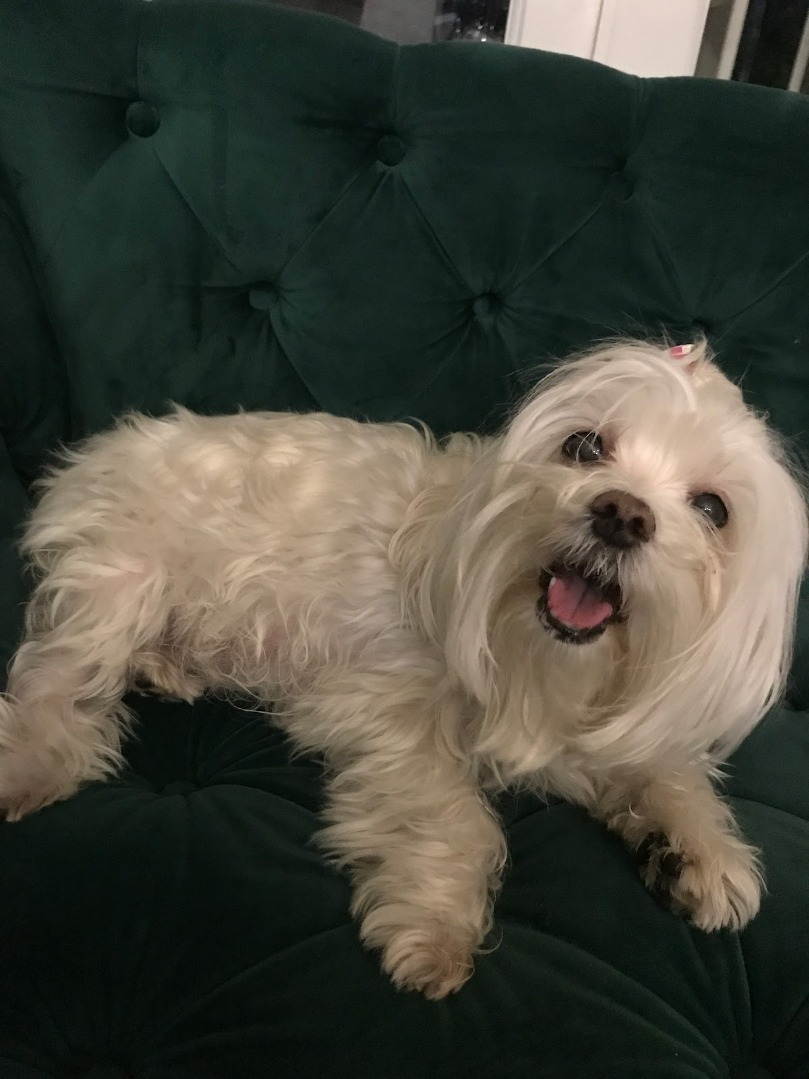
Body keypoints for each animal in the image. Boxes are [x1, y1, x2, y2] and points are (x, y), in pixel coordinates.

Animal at [0, 339, 805, 999]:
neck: (538, 661)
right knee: (54, 682)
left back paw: (168, 667)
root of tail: (97, 452)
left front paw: (695, 846)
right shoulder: (384, 710)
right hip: (120, 580)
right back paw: (29, 764)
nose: (621, 513)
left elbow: (666, 770)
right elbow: (454, 815)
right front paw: (437, 925)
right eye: (584, 446)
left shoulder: (607, 723)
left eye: (712, 508)